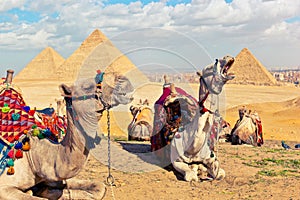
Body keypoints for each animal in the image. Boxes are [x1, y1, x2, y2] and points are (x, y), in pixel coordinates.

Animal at [0, 69, 134, 199]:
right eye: (87, 86)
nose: (122, 78)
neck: (33, 154)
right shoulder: (4, 187)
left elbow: (100, 187)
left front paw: (44, 191)